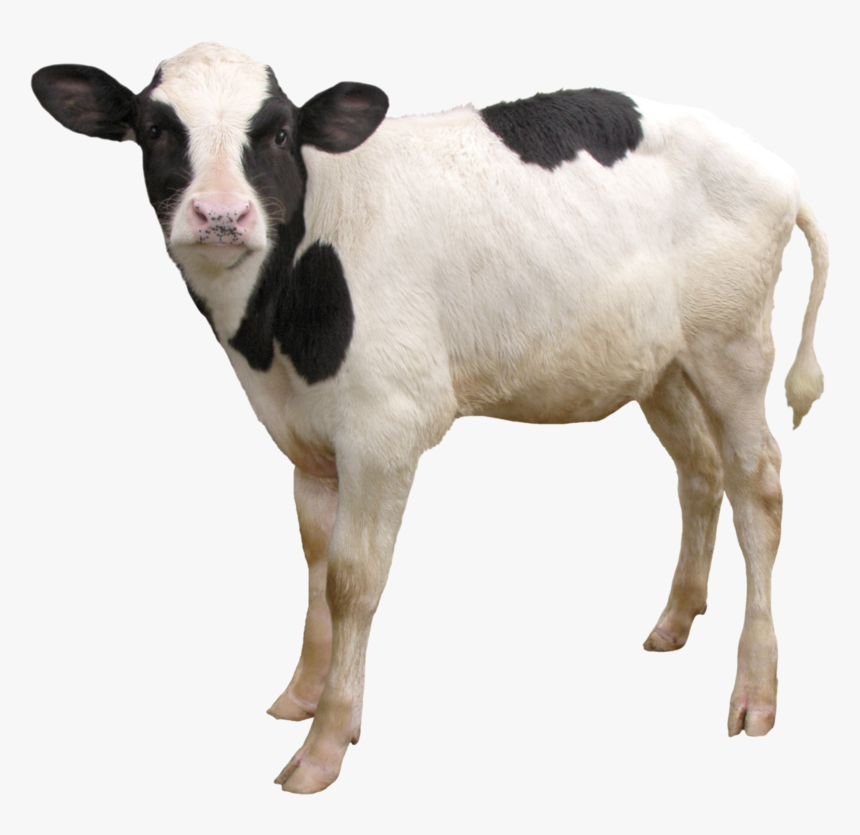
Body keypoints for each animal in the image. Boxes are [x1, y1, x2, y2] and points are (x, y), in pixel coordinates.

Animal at [31, 42, 828, 794]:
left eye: (280, 131)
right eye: (155, 128)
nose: (221, 215)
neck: (272, 332)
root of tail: (773, 168)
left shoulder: (384, 429)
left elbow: (352, 580)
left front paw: (326, 742)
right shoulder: (307, 440)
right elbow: (315, 562)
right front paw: (304, 694)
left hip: (733, 347)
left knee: (757, 488)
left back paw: (755, 691)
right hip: (663, 365)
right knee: (699, 473)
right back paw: (675, 619)